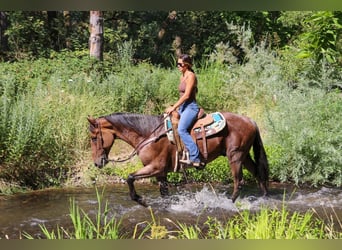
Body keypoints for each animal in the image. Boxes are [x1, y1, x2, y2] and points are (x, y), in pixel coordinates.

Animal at [87, 112, 268, 207]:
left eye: (94, 138)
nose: (97, 162)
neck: (149, 136)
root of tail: (250, 120)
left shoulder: (156, 167)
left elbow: (130, 177)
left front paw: (140, 200)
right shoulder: (161, 174)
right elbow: (164, 193)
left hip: (235, 156)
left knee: (239, 181)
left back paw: (228, 202)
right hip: (244, 155)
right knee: (258, 173)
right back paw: (264, 197)